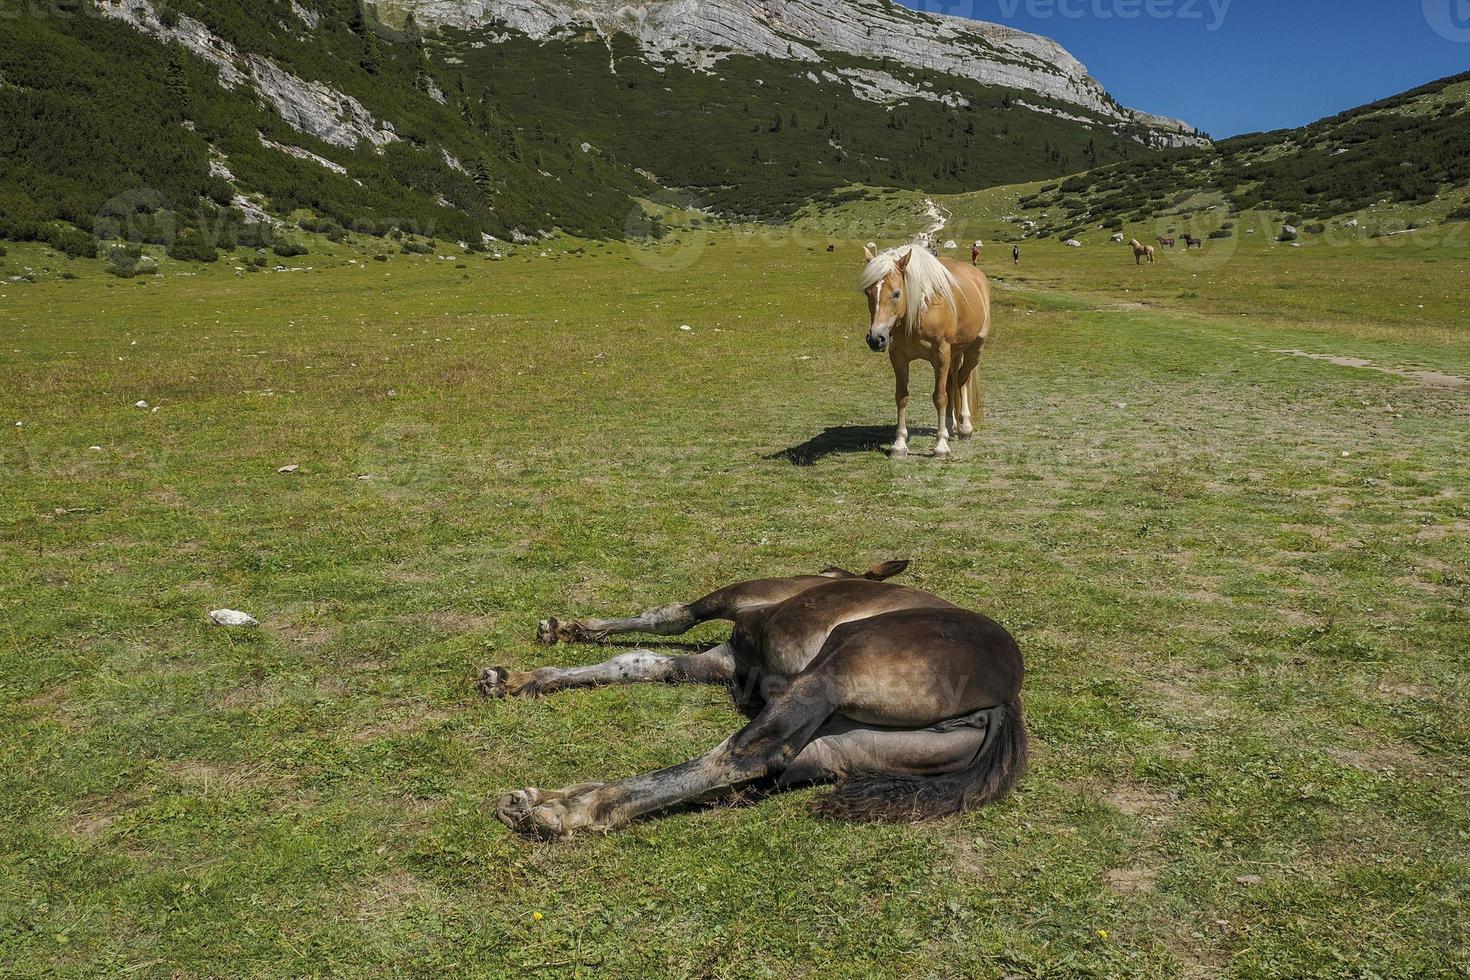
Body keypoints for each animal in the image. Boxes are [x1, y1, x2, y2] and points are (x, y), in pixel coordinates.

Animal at [476, 564, 1029, 840]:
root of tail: (1003, 705)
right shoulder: (730, 662)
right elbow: (641, 661)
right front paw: (519, 676)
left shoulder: (739, 601)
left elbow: (668, 617)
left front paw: (560, 634)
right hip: (844, 744)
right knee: (764, 767)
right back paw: (546, 801)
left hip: (832, 670)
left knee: (743, 755)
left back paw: (572, 807)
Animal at [858, 245, 993, 461]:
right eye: (868, 292)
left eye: (896, 293)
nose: (876, 339)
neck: (919, 312)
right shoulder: (899, 358)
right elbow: (902, 396)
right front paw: (899, 444)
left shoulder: (940, 356)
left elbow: (940, 397)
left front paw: (941, 446)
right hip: (954, 354)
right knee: (953, 383)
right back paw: (950, 425)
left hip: (974, 349)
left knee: (962, 381)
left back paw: (965, 427)